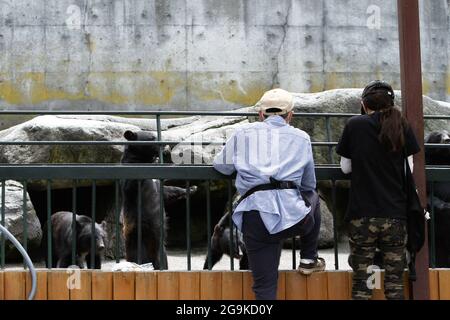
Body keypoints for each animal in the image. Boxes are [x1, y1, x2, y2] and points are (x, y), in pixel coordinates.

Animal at [120, 129, 196, 268]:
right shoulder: (131, 182)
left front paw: (192, 188)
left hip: (160, 248)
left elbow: (167, 191)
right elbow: (131, 185)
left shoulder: (157, 182)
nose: (165, 144)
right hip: (138, 237)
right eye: (151, 137)